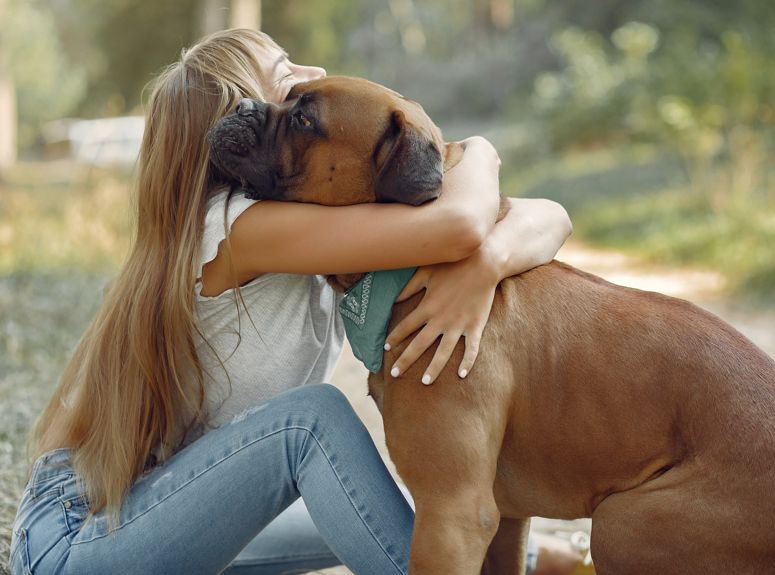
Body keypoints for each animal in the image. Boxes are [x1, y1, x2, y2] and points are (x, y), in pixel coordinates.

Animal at [209, 77, 775, 575]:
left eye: (304, 120)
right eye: (285, 97)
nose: (241, 107)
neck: (411, 267)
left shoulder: (451, 515)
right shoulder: (504, 518)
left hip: (625, 521)